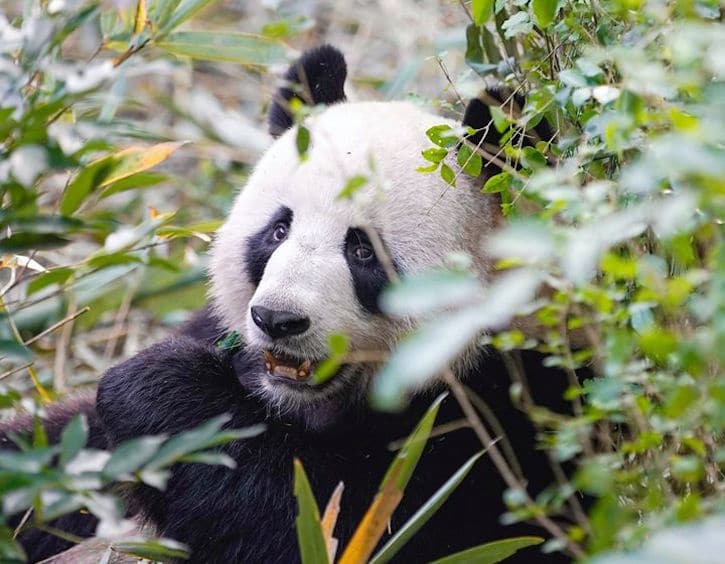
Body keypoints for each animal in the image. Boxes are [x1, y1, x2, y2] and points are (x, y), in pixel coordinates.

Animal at [5, 45, 580, 564]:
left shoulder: (506, 426)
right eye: (278, 230)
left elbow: (328, 524)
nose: (276, 320)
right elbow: (57, 451)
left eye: (363, 251)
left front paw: (158, 390)